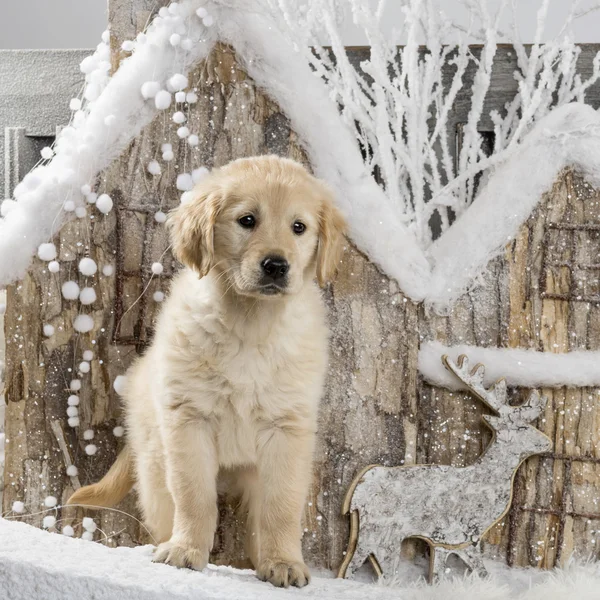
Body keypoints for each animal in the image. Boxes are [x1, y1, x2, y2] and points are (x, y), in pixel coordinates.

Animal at [68, 154, 344, 584]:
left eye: (299, 227)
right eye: (247, 220)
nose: (276, 266)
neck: (250, 325)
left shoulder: (287, 430)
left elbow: (281, 506)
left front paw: (283, 562)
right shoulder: (188, 421)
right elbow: (193, 496)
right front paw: (186, 551)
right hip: (154, 462)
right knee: (164, 508)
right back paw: (166, 543)